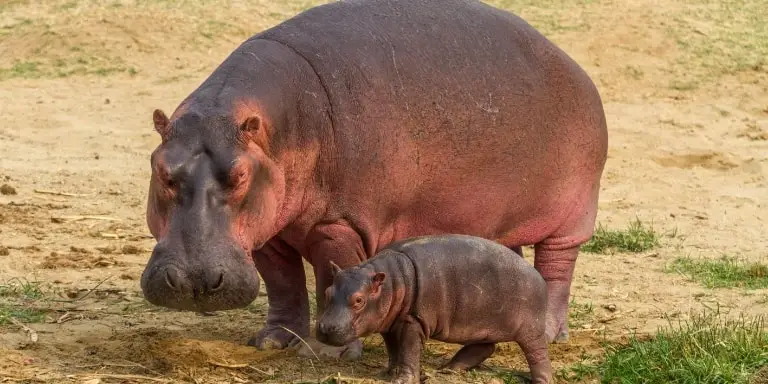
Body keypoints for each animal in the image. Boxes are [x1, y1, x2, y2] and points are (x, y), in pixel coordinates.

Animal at [138, 0, 608, 360]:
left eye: (239, 175)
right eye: (159, 168)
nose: (195, 282)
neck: (273, 128)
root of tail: (574, 65)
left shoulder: (339, 225)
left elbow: (327, 278)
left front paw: (329, 352)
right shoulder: (268, 230)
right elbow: (283, 285)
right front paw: (274, 342)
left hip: (572, 215)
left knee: (557, 268)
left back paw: (550, 332)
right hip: (494, 217)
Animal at [316, 234, 552, 384]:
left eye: (358, 300)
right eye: (327, 292)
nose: (326, 328)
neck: (392, 281)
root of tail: (538, 275)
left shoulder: (413, 320)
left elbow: (408, 350)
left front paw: (403, 379)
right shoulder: (389, 323)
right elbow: (394, 349)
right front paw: (389, 372)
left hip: (530, 329)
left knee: (538, 354)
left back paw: (541, 380)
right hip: (483, 325)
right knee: (484, 347)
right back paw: (447, 369)